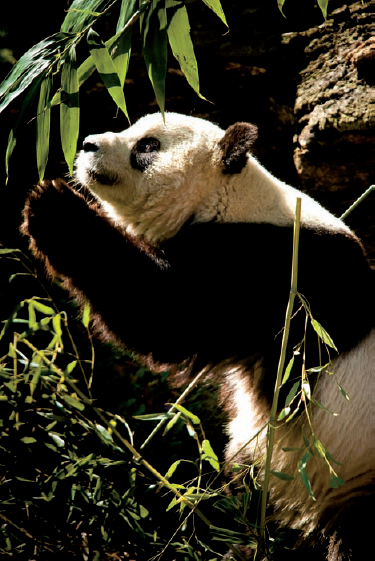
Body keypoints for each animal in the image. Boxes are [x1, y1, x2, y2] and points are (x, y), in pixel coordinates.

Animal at [22, 111, 374, 556]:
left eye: (147, 145)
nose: (86, 144)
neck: (228, 199)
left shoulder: (273, 273)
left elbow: (166, 316)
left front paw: (53, 208)